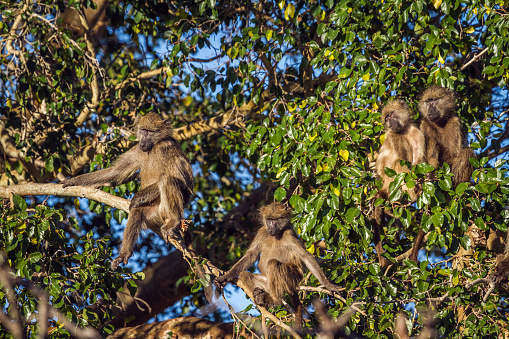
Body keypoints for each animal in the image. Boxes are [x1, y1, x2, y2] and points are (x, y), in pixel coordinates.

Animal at [62, 114, 192, 270]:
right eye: (143, 130)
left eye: (150, 131)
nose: (142, 144)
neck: (153, 147)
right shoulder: (137, 150)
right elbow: (115, 172)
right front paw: (73, 181)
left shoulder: (166, 147)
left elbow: (180, 179)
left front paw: (136, 198)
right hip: (155, 213)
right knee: (137, 213)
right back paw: (124, 254)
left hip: (169, 208)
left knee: (167, 179)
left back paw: (174, 220)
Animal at [214, 203, 342, 328]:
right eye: (269, 219)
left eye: (276, 219)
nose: (271, 227)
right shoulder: (262, 231)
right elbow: (251, 255)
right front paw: (224, 278)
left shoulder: (289, 235)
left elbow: (306, 257)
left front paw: (329, 285)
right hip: (267, 284)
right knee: (245, 274)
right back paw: (260, 296)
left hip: (291, 278)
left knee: (273, 263)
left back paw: (275, 300)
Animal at [374, 100, 424, 266]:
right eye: (386, 118)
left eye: (390, 115)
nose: (389, 123)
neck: (405, 131)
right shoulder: (395, 137)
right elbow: (404, 161)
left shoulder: (417, 132)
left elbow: (419, 161)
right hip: (390, 182)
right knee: (397, 164)